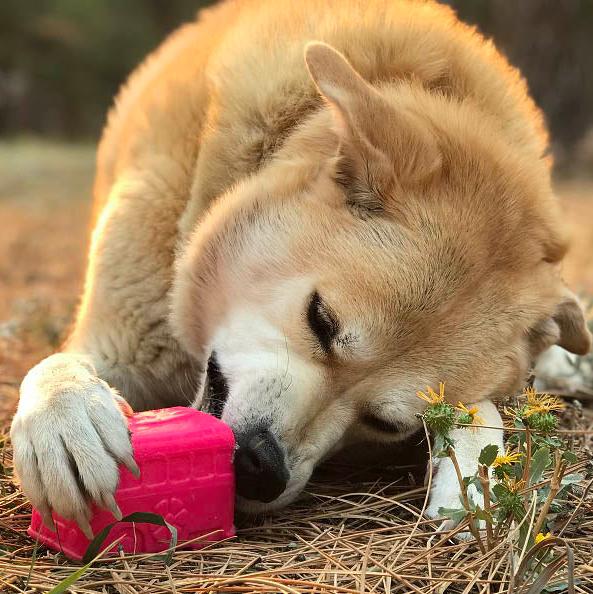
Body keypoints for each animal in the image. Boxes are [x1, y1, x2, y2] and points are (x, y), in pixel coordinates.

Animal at [8, 0, 588, 536]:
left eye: (385, 423)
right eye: (320, 319)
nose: (259, 469)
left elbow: (481, 410)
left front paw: (471, 478)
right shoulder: (120, 342)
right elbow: (58, 366)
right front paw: (67, 418)